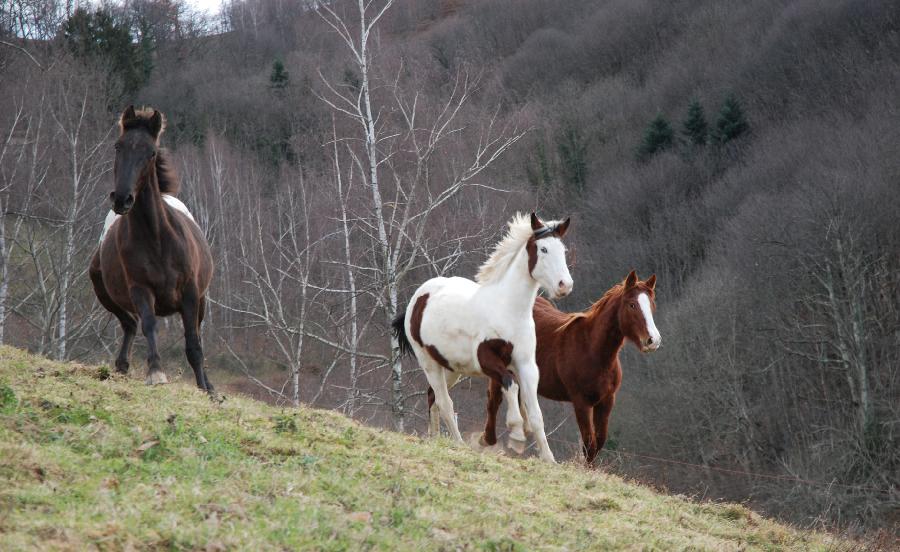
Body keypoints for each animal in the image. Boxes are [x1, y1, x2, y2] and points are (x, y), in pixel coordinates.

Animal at [88, 106, 216, 392]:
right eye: (118, 146)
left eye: (151, 153)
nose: (122, 199)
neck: (157, 241)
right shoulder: (140, 290)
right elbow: (149, 325)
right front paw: (156, 372)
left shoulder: (191, 294)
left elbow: (194, 344)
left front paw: (204, 388)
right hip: (104, 292)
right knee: (130, 323)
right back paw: (122, 365)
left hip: (201, 301)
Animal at [392, 211, 568, 462]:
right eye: (543, 249)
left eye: (563, 250)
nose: (565, 285)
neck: (507, 309)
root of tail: (418, 298)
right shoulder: (487, 360)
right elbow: (510, 385)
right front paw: (516, 434)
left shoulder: (527, 365)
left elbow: (535, 413)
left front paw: (548, 458)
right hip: (428, 363)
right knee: (445, 402)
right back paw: (458, 444)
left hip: (451, 367)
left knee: (433, 396)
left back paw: (434, 438)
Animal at [482, 270, 656, 464]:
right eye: (632, 305)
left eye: (652, 305)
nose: (653, 340)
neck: (592, 350)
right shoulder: (581, 402)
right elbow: (589, 442)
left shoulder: (606, 401)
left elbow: (599, 441)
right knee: (494, 401)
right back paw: (488, 440)